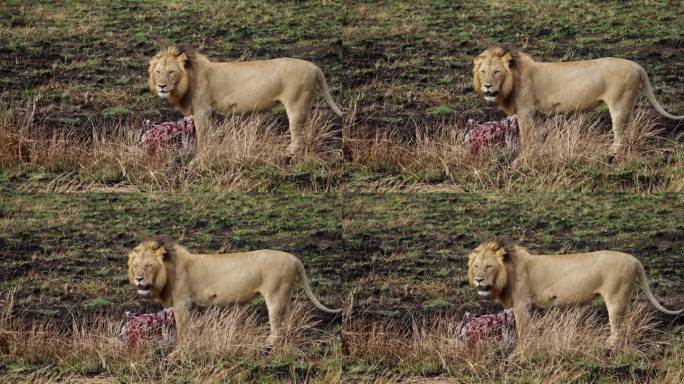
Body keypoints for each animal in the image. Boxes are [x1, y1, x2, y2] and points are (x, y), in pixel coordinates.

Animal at [127, 238, 340, 344]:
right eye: (136, 266)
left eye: (148, 266)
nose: (139, 279)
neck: (167, 271)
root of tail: (295, 259)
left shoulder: (182, 303)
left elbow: (183, 327)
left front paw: (182, 346)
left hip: (276, 295)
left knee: (276, 322)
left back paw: (270, 342)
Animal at [148, 47, 344, 156]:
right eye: (158, 72)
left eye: (171, 72)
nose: (161, 86)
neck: (188, 79)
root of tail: (315, 67)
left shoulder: (202, 109)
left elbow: (203, 134)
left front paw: (200, 155)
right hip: (305, 104)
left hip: (296, 104)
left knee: (297, 134)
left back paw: (288, 153)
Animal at [468, 240, 680, 344]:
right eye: (476, 266)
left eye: (489, 266)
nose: (479, 279)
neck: (506, 273)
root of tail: (634, 259)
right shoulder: (531, 306)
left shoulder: (522, 304)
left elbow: (523, 329)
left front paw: (522, 347)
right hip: (624, 297)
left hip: (615, 297)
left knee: (616, 324)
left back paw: (610, 343)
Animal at [472, 48, 680, 154]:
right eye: (483, 72)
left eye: (496, 72)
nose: (487, 86)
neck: (512, 79)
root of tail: (637, 66)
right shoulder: (534, 112)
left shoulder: (526, 110)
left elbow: (526, 134)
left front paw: (526, 152)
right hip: (628, 103)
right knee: (631, 125)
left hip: (619, 104)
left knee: (620, 130)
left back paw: (613, 150)